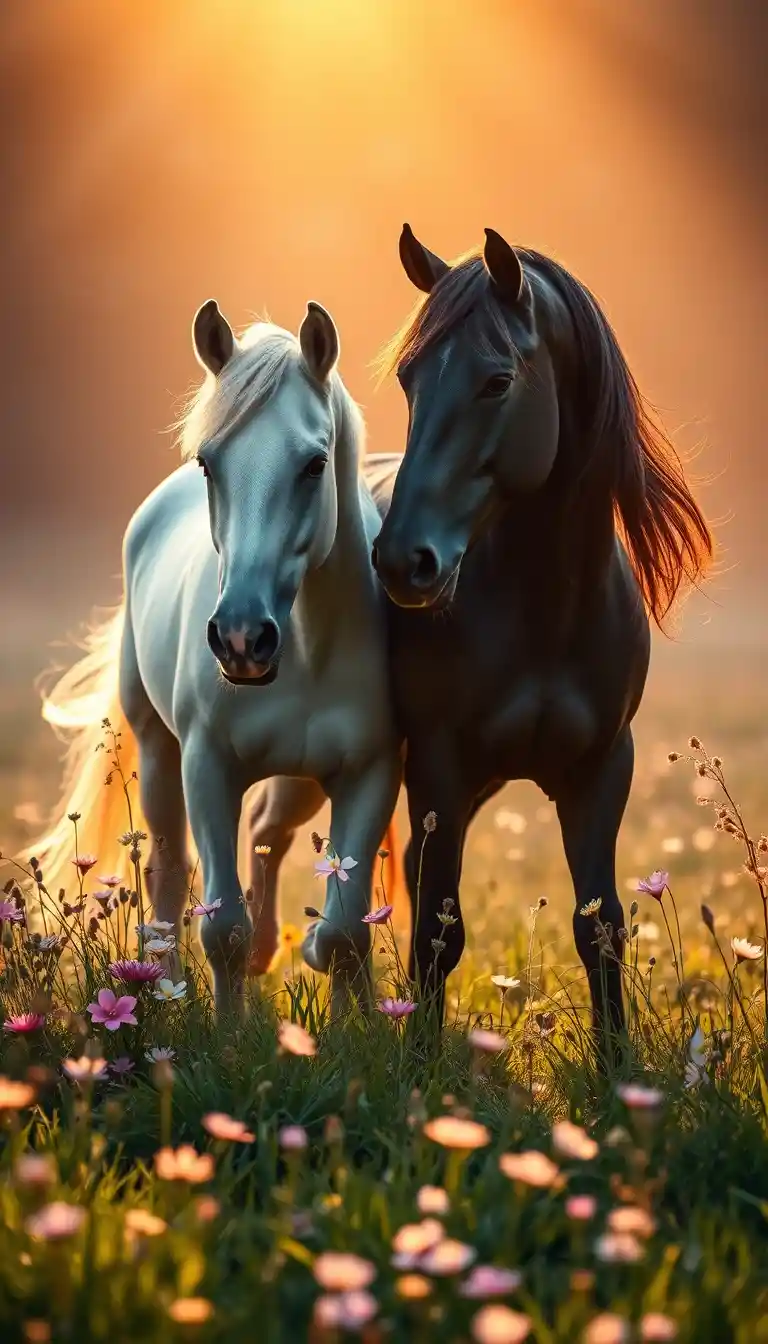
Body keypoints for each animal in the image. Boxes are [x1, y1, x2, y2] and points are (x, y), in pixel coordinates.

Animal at [28, 298, 403, 1015]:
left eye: (314, 464)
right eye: (210, 463)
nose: (240, 639)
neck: (308, 651)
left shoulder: (368, 772)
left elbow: (345, 934)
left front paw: (355, 1026)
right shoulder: (207, 766)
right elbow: (222, 928)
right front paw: (228, 1037)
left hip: (299, 782)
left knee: (266, 831)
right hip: (158, 751)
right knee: (169, 871)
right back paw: (159, 984)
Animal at [369, 224, 712, 1060]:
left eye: (497, 382)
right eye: (409, 378)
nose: (401, 561)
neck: (545, 610)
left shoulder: (599, 771)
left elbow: (602, 928)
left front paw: (617, 1065)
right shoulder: (439, 767)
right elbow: (438, 931)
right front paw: (419, 1061)